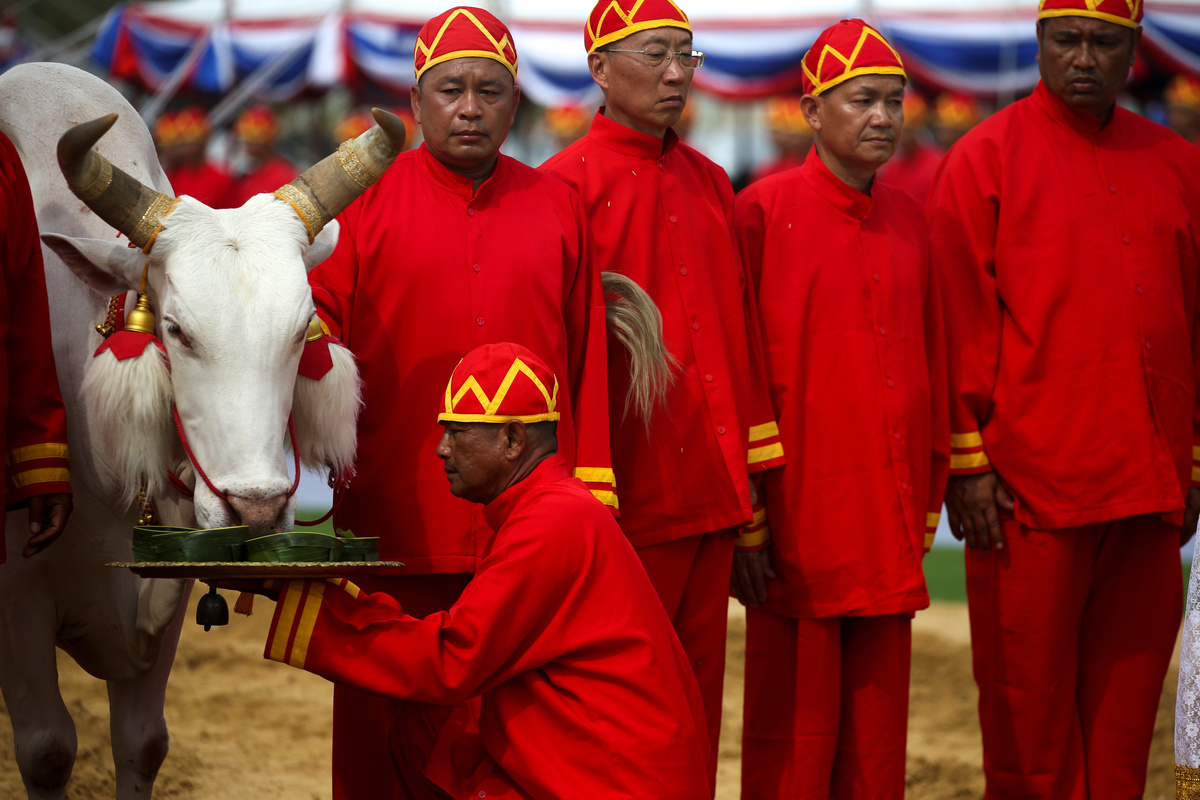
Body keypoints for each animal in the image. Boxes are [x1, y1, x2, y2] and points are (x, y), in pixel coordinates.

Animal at [0, 62, 405, 799]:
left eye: (302, 325)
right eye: (176, 330)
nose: (258, 510)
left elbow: (143, 744)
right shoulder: (16, 603)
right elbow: (46, 750)